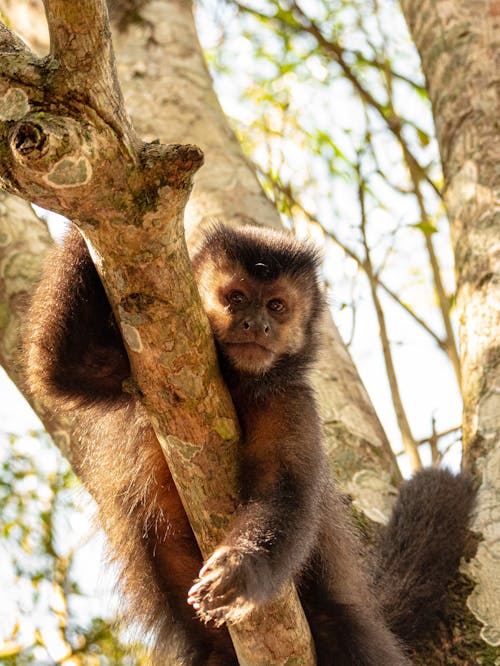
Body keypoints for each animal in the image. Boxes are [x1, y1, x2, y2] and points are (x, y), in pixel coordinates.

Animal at [23, 224, 474, 664]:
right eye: (236, 298)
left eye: (276, 306)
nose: (257, 325)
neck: (234, 380)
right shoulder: (139, 358)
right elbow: (64, 367)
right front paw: (86, 223)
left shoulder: (291, 401)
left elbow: (284, 488)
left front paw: (240, 565)